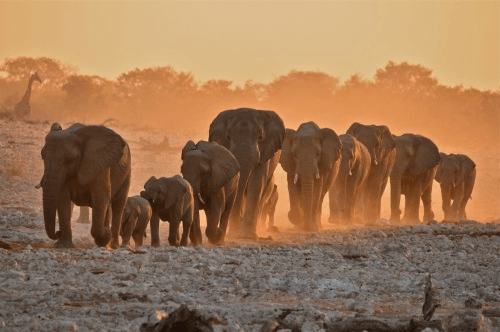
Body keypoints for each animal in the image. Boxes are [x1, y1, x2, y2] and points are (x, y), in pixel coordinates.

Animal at [208, 107, 286, 240]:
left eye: (260, 137)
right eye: (228, 137)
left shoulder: (265, 152)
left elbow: (256, 183)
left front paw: (246, 236)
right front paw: (234, 234)